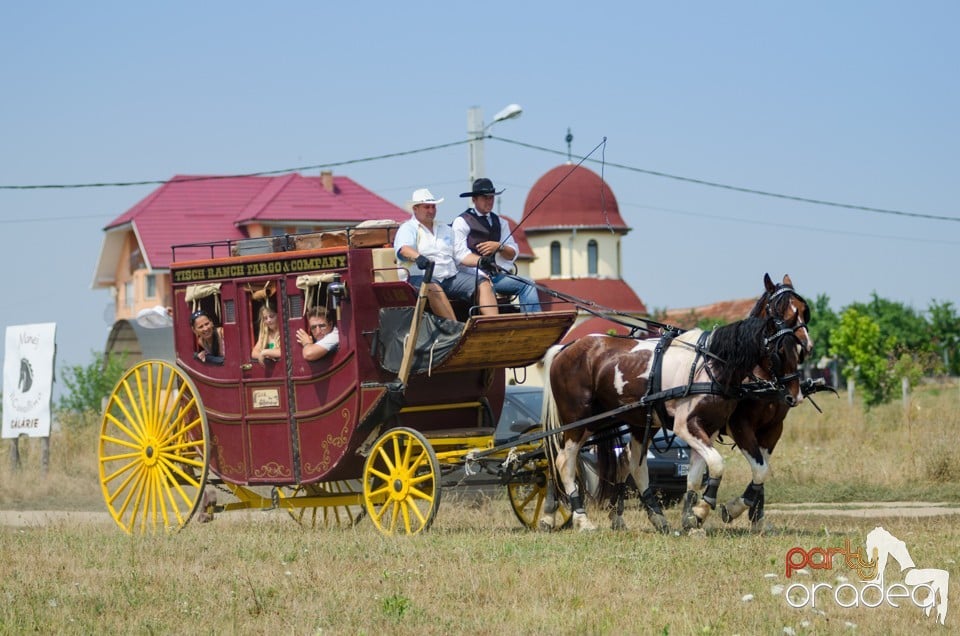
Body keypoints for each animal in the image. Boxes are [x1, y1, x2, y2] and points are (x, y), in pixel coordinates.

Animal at [536, 316, 800, 532]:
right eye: (780, 350)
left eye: (799, 349)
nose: (794, 396)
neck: (710, 366)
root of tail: (565, 348)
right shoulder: (693, 426)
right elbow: (717, 464)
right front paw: (706, 509)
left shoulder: (711, 429)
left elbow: (699, 474)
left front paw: (694, 518)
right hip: (578, 422)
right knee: (562, 460)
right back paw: (580, 519)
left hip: (622, 422)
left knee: (630, 464)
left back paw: (653, 517)